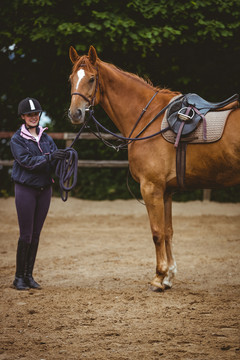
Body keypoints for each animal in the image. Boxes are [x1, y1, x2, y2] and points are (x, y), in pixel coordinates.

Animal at [67, 45, 240, 292]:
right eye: (71, 79)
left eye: (91, 79)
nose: (75, 114)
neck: (148, 119)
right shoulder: (166, 191)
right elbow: (168, 232)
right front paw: (169, 277)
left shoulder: (151, 188)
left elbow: (156, 233)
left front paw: (158, 277)